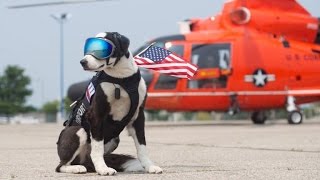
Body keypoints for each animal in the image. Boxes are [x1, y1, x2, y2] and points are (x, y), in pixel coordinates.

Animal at [55, 31, 164, 175]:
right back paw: (77, 168)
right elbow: (97, 147)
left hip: (114, 139)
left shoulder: (138, 116)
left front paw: (149, 166)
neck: (121, 78)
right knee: (60, 166)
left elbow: (142, 146)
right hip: (77, 131)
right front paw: (102, 168)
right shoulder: (96, 115)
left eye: (102, 50)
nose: (83, 62)